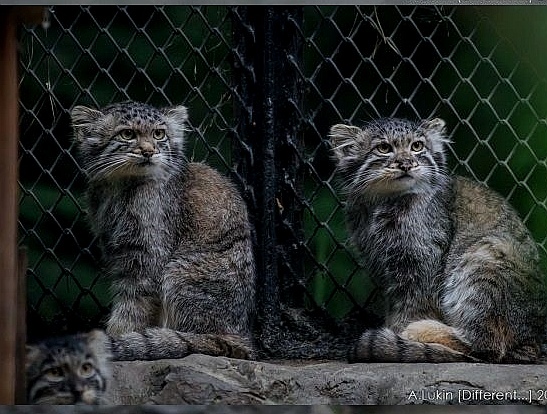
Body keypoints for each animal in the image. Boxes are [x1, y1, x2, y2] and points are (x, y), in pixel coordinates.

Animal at [70, 102, 256, 360]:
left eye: (159, 134)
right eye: (127, 134)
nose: (149, 151)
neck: (119, 187)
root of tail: (240, 337)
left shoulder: (147, 255)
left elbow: (134, 303)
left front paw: (120, 336)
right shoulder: (115, 247)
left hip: (178, 272)